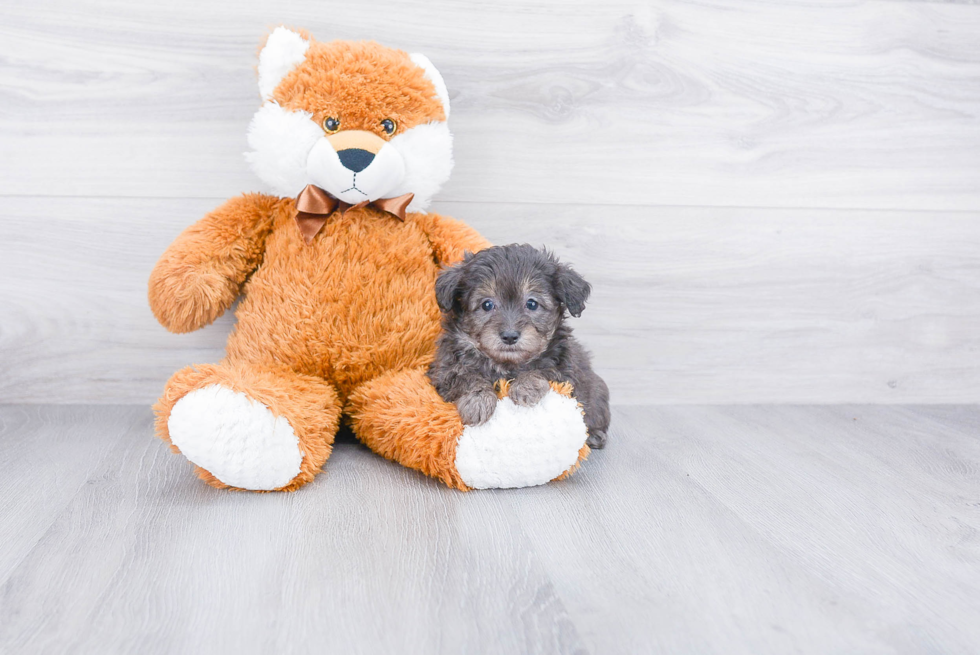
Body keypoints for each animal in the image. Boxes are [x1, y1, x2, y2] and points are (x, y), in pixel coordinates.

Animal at [424, 243, 608, 448]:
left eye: (532, 304)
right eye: (487, 305)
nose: (510, 336)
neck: (505, 364)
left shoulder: (565, 373)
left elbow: (543, 370)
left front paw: (525, 387)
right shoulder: (443, 371)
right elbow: (465, 377)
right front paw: (478, 401)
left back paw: (594, 435)